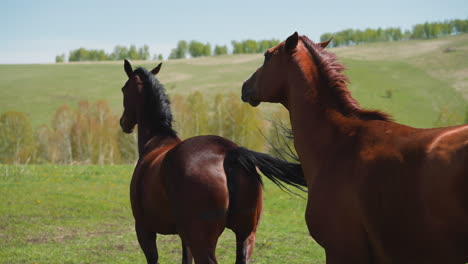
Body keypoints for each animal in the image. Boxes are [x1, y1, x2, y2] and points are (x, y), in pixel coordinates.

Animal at [119, 60, 306, 264]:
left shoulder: (145, 231)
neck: (157, 139)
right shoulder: (184, 237)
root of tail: (229, 152)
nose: (123, 122)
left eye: (124, 89)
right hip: (245, 236)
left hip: (203, 242)